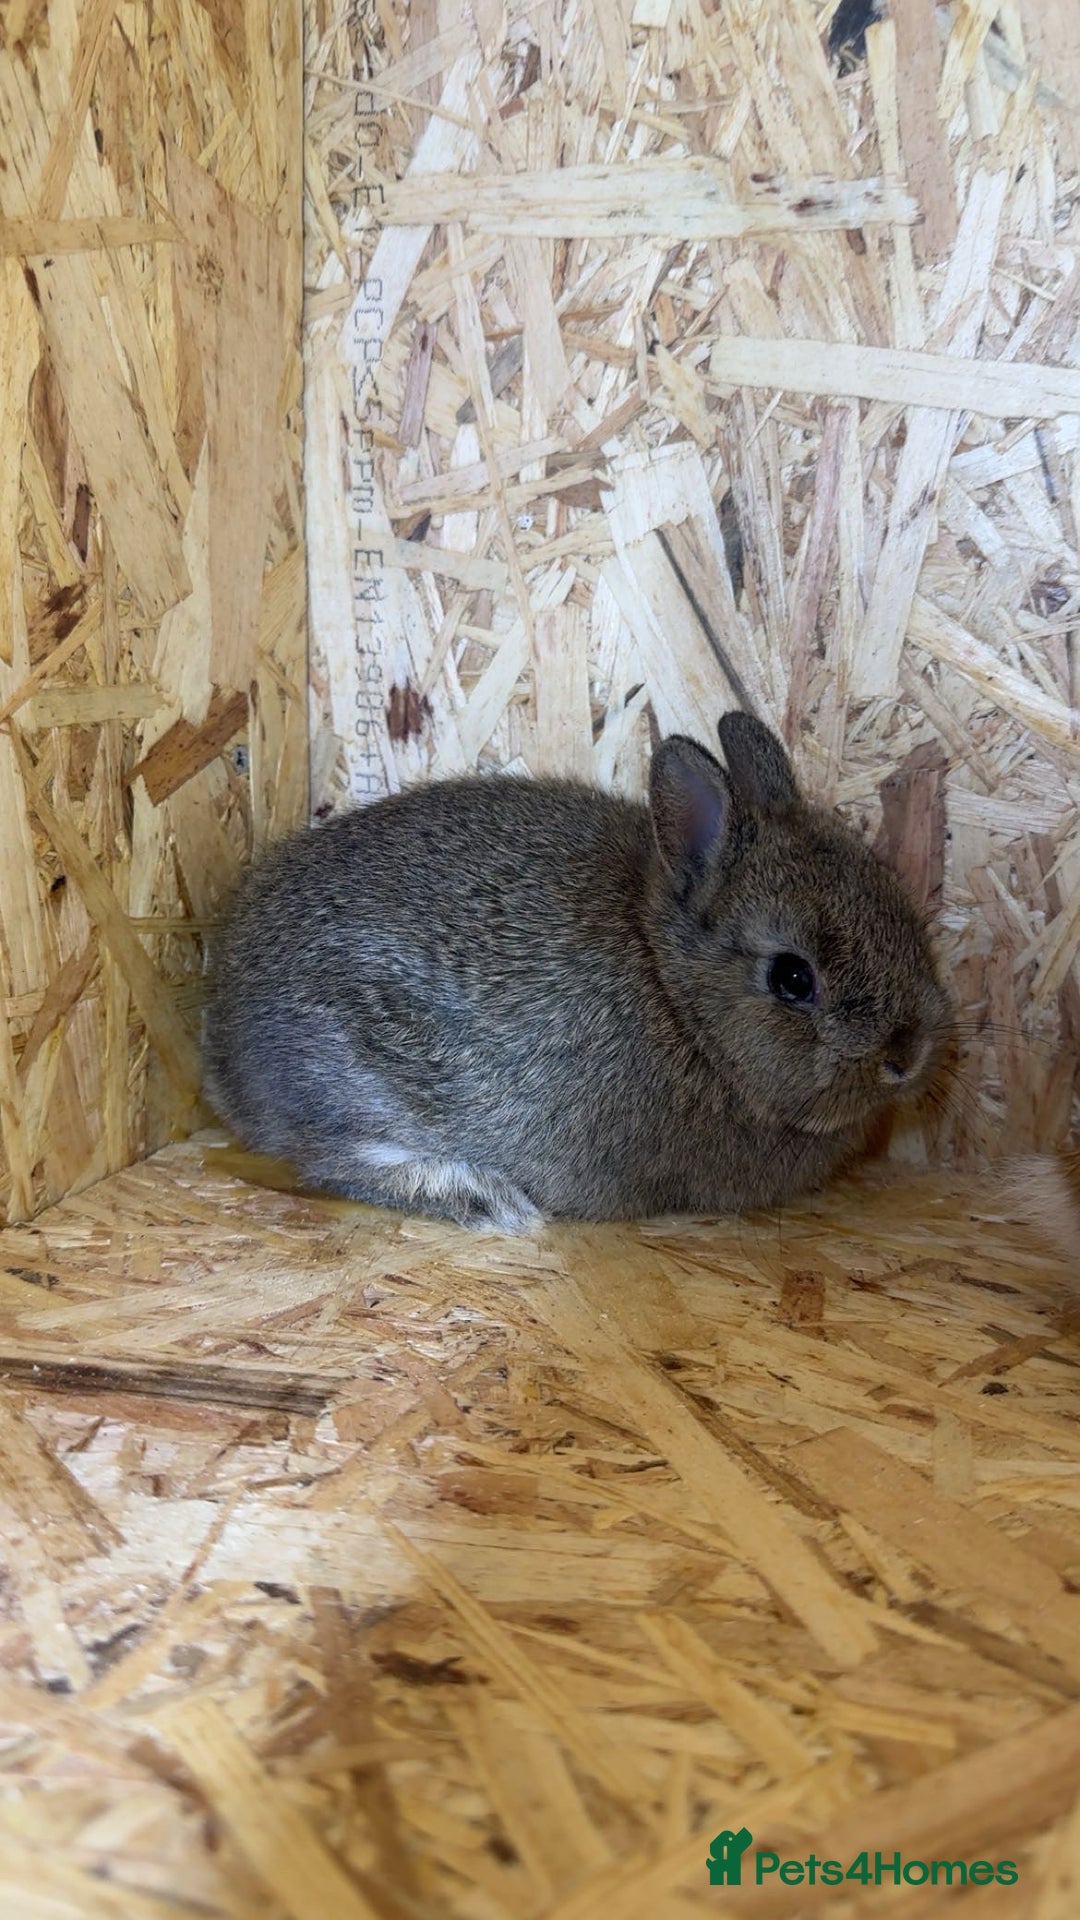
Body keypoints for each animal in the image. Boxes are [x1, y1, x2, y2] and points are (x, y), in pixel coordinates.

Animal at [202, 712, 951, 1234]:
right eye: (794, 979)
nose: (910, 1055)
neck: (676, 996)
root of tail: (224, 1037)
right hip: (359, 1082)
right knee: (333, 1158)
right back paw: (486, 1201)